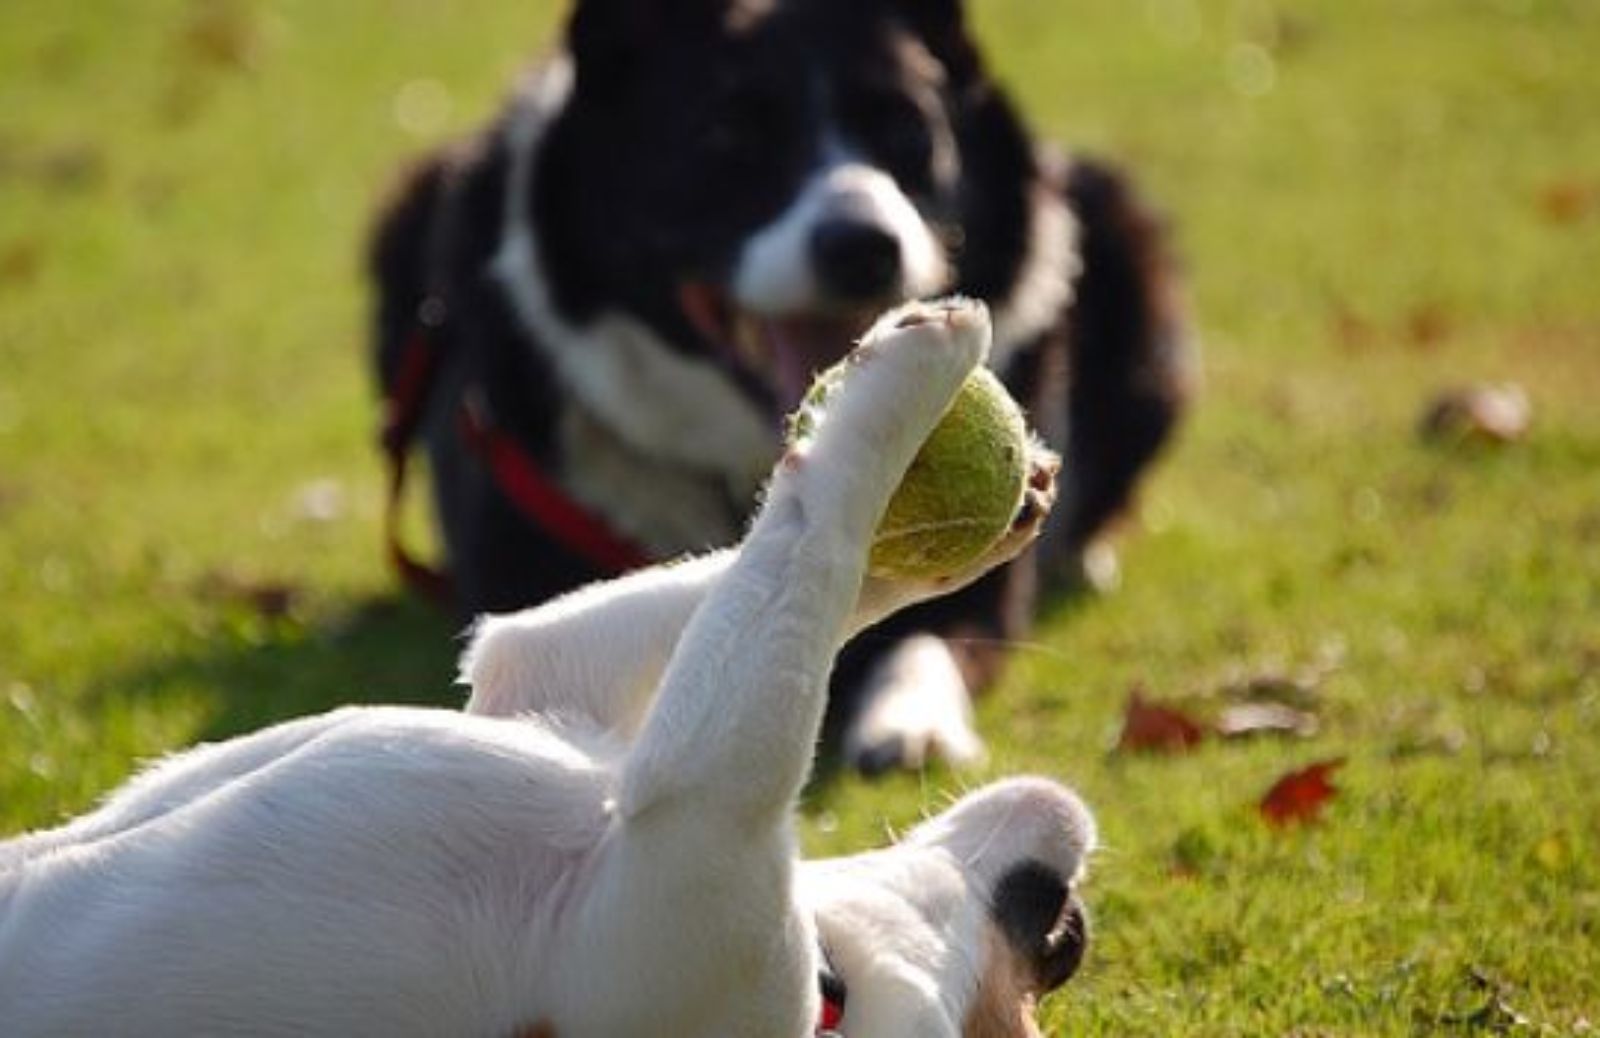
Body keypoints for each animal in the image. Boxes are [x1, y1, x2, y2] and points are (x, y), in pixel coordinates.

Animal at [0, 295, 1094, 1030]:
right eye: (1031, 972)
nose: (1064, 924)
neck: (832, 984)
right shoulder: (536, 668)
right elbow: (813, 547)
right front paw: (998, 492)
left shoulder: (696, 807)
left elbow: (815, 535)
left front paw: (913, 382)